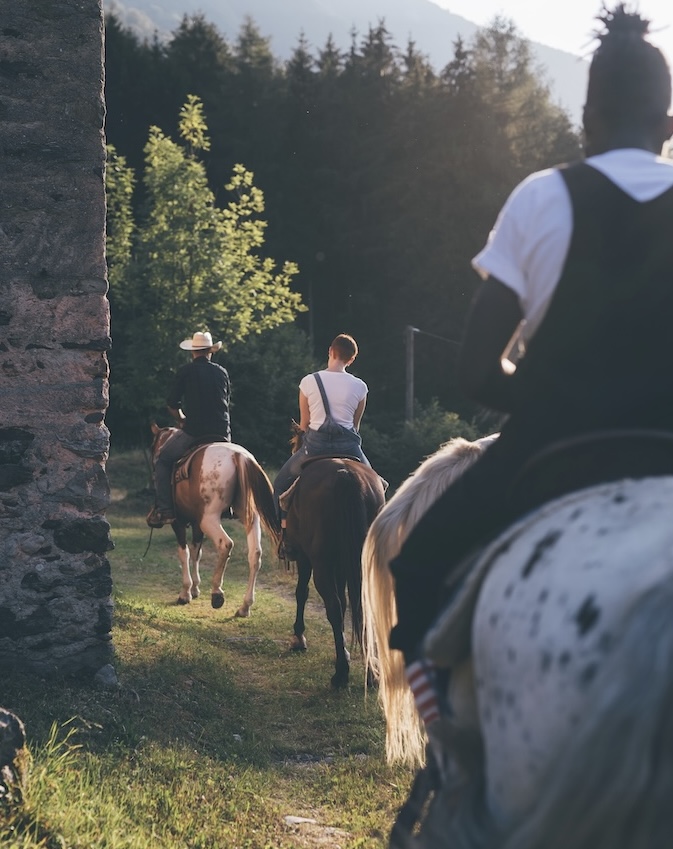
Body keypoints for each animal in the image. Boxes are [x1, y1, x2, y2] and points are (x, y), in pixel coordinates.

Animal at [150, 424, 280, 616]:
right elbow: (196, 552)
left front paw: (185, 593)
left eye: (153, 448)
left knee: (226, 544)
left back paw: (217, 593)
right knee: (255, 554)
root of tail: (238, 456)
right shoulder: (196, 524)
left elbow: (184, 553)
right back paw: (245, 606)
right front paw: (195, 588)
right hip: (250, 517)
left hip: (209, 519)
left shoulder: (178, 521)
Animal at [284, 424, 386, 688]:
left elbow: (301, 593)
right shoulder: (341, 565)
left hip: (320, 564)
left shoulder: (306, 558)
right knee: (358, 606)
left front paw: (299, 637)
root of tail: (346, 476)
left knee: (333, 607)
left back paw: (341, 674)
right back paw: (371, 673)